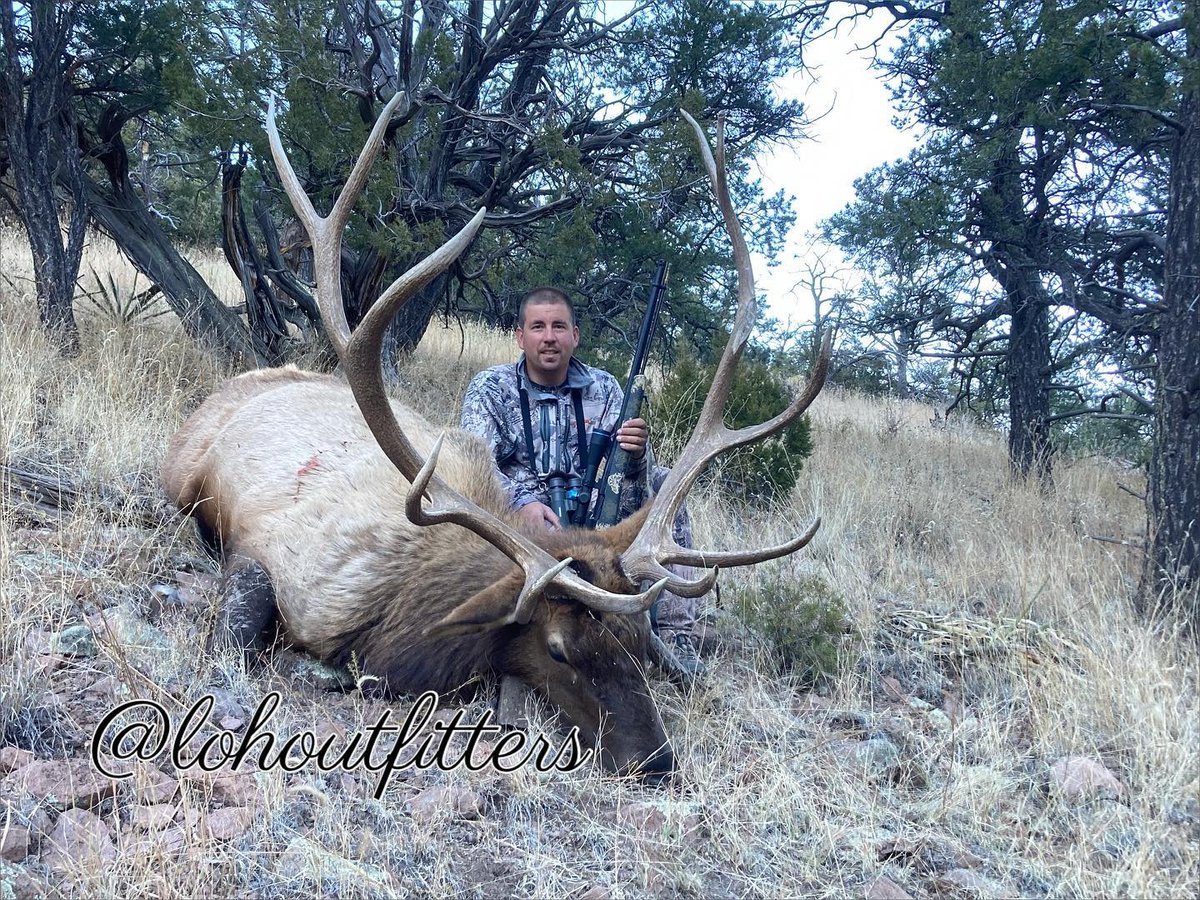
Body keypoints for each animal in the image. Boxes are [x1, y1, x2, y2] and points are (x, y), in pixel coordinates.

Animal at [161, 92, 831, 782]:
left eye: (640, 641)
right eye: (559, 650)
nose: (655, 761)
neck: (401, 611)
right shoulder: (272, 555)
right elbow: (239, 640)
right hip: (183, 469)